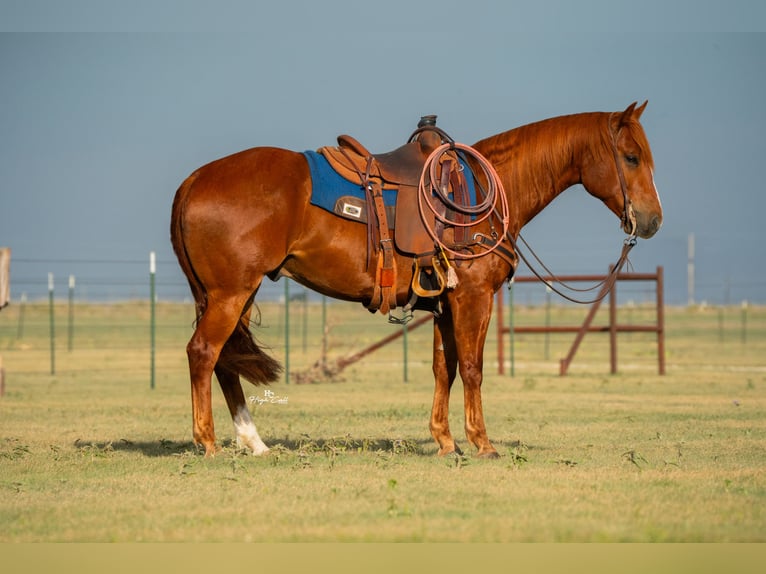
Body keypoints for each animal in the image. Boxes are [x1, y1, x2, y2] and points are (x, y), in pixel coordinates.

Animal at [170, 101, 662, 458]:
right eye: (631, 157)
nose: (653, 220)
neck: (485, 192)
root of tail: (194, 180)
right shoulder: (473, 298)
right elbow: (472, 368)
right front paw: (482, 442)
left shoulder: (445, 303)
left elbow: (444, 369)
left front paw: (445, 440)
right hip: (230, 293)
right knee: (205, 353)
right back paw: (208, 441)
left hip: (234, 293)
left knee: (225, 361)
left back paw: (253, 442)